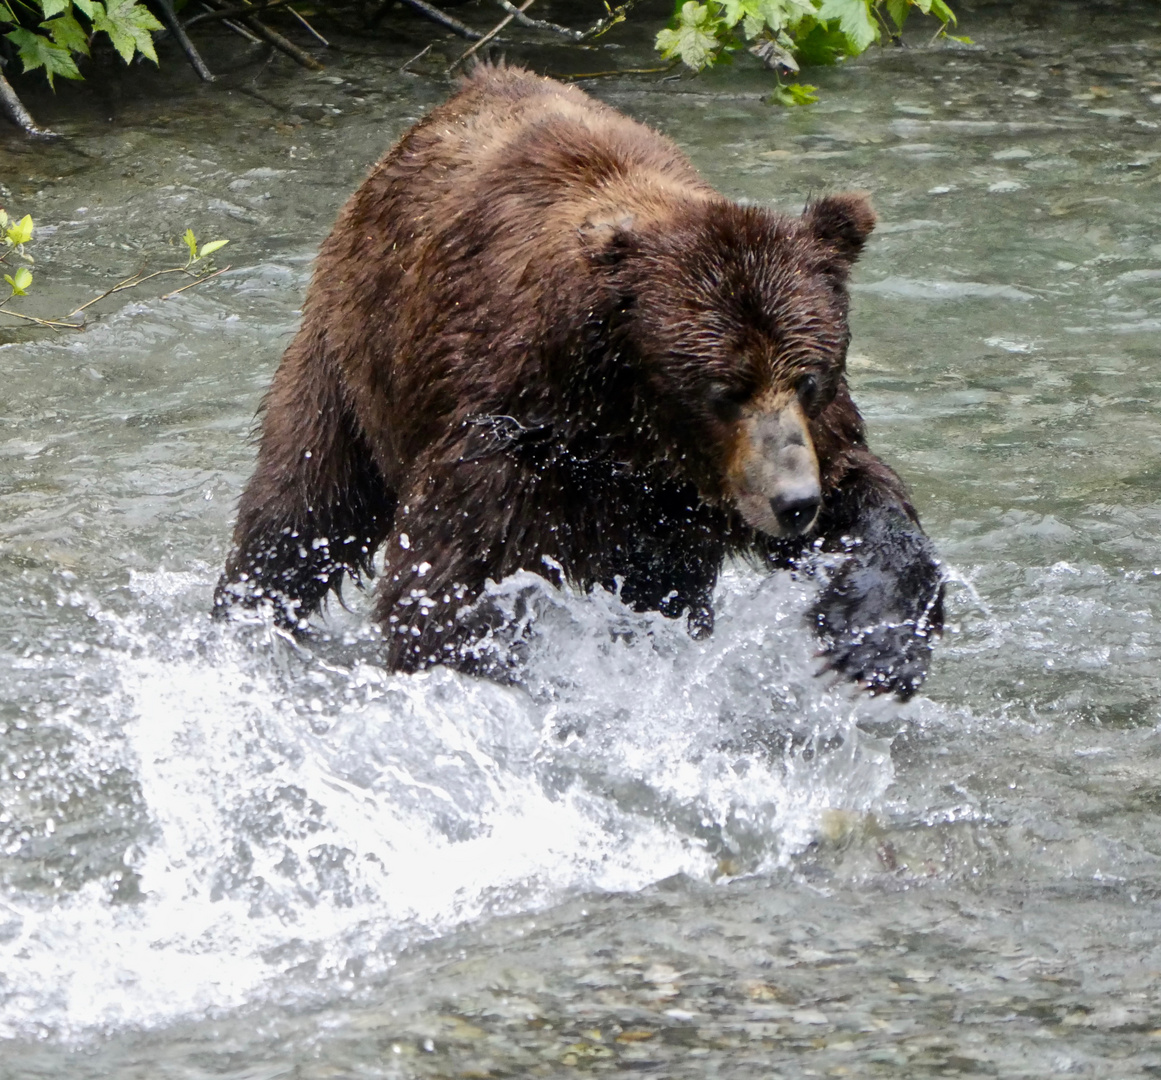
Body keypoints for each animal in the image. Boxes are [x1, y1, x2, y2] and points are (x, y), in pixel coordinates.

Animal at [215, 60, 942, 696]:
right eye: (721, 390)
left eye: (809, 378)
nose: (793, 502)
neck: (628, 421)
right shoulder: (506, 437)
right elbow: (447, 582)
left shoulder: (738, 466)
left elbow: (864, 496)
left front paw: (875, 641)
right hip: (349, 364)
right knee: (302, 508)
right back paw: (246, 612)